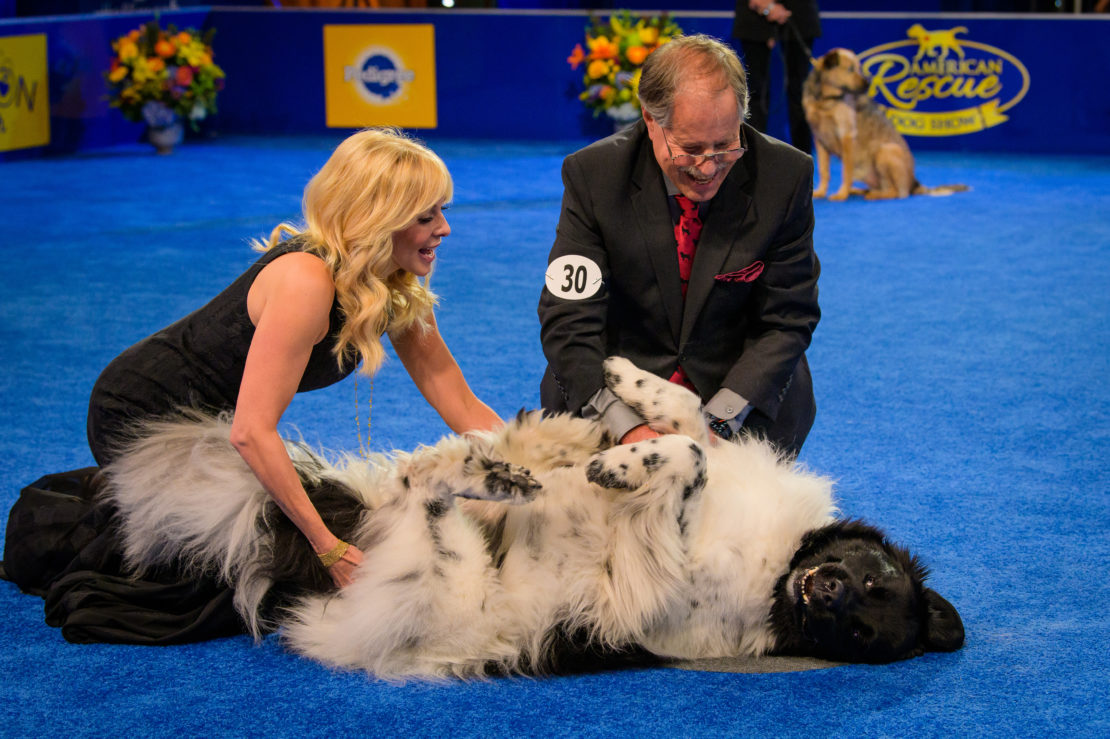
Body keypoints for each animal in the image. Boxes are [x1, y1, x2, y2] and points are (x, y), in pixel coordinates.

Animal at [104, 355, 963, 674]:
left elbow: (687, 458)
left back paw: (497, 473)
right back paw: (523, 453)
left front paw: (621, 467)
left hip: (438, 585)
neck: (782, 567)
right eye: (871, 570)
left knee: (431, 493)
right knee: (430, 473)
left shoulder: (665, 579)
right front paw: (629, 389)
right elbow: (692, 423)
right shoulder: (722, 461)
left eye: (862, 623)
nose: (828, 590)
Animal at [803, 47, 967, 199]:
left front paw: (842, 194)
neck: (824, 99)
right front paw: (821, 192)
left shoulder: (847, 135)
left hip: (885, 151)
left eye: (858, 68)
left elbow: (846, 171)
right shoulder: (820, 139)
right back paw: (860, 191)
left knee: (897, 192)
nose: (868, 83)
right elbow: (824, 170)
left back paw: (872, 195)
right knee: (884, 188)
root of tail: (914, 184)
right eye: (850, 69)